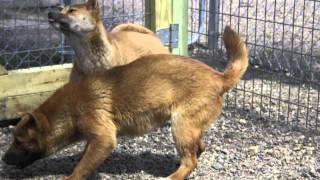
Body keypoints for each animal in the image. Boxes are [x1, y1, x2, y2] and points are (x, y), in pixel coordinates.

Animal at [1, 26, 249, 180]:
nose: (3, 159)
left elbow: (81, 166)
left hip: (181, 127)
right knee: (199, 148)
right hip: (189, 129)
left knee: (190, 161)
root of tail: (219, 77)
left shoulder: (104, 138)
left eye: (19, 141)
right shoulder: (94, 141)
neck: (70, 108)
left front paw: (71, 175)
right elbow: (84, 158)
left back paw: (174, 175)